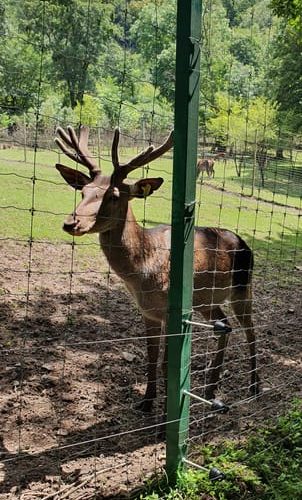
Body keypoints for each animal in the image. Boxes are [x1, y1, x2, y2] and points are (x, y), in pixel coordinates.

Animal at [54, 126, 262, 414]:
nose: (70, 223)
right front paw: (146, 401)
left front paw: (166, 414)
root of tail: (245, 243)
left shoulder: (170, 311)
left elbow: (166, 363)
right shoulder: (148, 312)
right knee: (225, 326)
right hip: (206, 300)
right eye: (83, 191)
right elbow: (151, 356)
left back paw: (254, 386)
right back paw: (211, 389)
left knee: (251, 330)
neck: (142, 274)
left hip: (243, 287)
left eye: (113, 195)